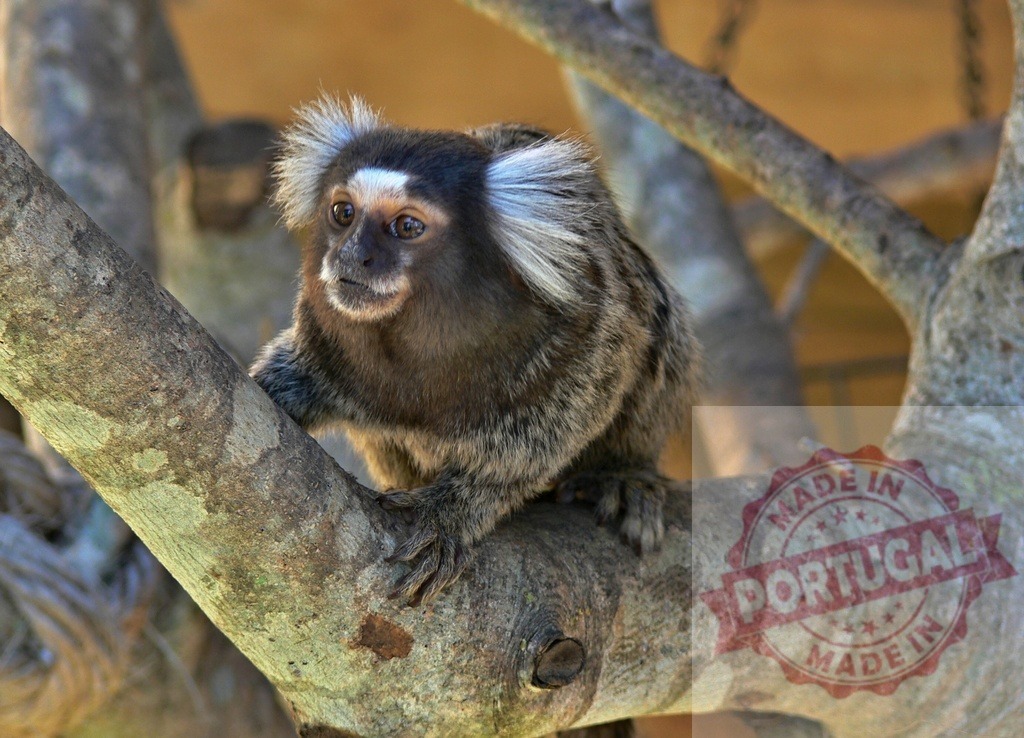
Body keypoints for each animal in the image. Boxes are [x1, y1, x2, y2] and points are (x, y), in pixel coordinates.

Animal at [250, 95, 700, 606]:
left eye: (407, 225)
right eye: (343, 212)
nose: (350, 256)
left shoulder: (588, 323)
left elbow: (541, 440)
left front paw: (453, 514)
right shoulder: (324, 340)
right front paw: (274, 389)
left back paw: (623, 474)